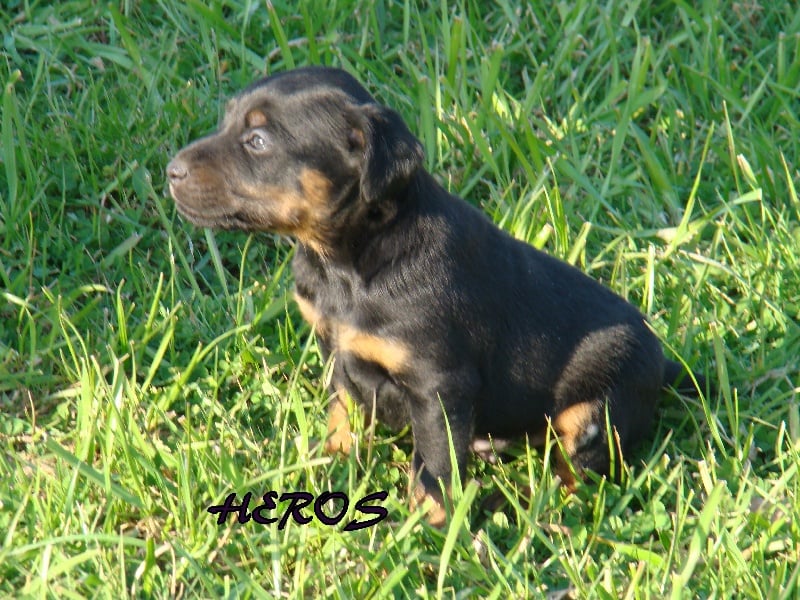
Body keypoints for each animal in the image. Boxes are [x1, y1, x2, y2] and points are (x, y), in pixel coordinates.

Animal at [166, 67, 704, 524]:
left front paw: (429, 528)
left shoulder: (439, 384)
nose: (171, 170)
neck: (347, 262)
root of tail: (664, 366)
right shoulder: (336, 348)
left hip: (600, 405)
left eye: (258, 142)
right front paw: (333, 461)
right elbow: (343, 409)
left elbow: (437, 464)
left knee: (574, 474)